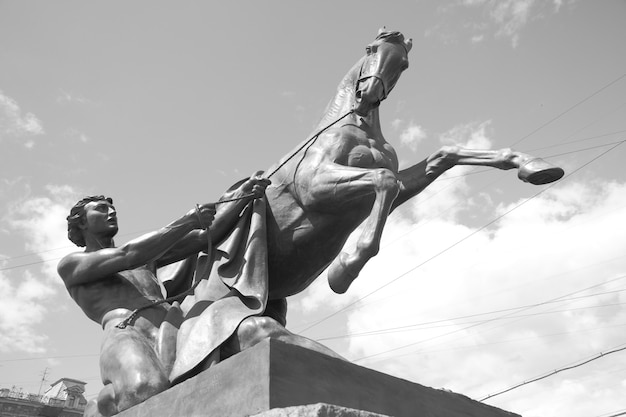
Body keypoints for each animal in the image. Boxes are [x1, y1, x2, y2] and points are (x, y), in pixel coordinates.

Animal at [260, 29, 560, 300]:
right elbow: (384, 178)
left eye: (403, 64)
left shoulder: (392, 190)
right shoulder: (312, 185)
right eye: (370, 49)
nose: (366, 97)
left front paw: (533, 166)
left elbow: (443, 156)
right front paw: (343, 271)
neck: (359, 126)